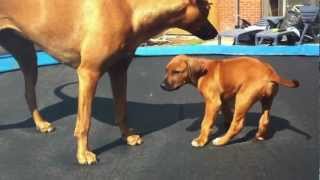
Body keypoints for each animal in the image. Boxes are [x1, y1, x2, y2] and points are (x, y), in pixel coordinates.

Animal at [0, 0, 218, 165]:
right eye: (207, 8)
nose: (215, 33)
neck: (130, 10)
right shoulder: (88, 74)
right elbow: (84, 122)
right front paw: (83, 154)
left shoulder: (119, 70)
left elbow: (121, 110)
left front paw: (127, 136)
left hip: (27, 55)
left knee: (29, 93)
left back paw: (41, 124)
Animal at [161, 55, 298, 148]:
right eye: (166, 70)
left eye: (176, 72)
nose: (162, 86)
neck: (202, 71)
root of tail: (271, 73)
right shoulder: (223, 100)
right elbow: (226, 112)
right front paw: (226, 122)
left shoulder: (213, 102)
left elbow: (205, 123)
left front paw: (201, 140)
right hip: (267, 100)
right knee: (264, 120)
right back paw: (260, 135)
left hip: (243, 98)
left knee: (237, 125)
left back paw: (221, 141)